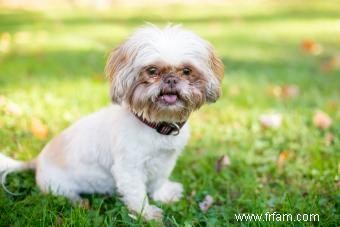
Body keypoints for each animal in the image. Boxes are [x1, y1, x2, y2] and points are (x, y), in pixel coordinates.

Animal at [0, 24, 224, 220]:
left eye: (186, 71)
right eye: (152, 71)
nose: (170, 79)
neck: (155, 125)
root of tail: (36, 160)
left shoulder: (166, 160)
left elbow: (158, 180)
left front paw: (163, 194)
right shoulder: (129, 168)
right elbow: (136, 193)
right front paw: (146, 214)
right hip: (57, 185)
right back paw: (78, 202)